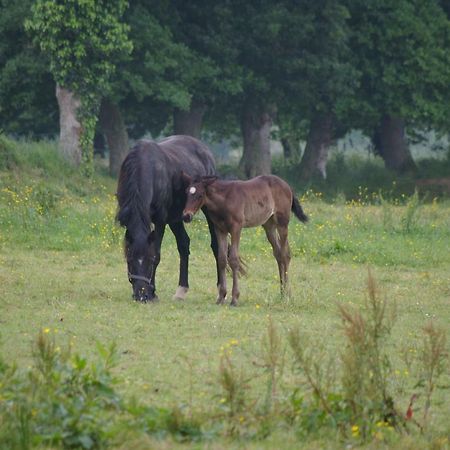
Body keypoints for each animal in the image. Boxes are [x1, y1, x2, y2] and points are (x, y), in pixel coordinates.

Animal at [116, 134, 220, 302]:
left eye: (149, 261)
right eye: (130, 261)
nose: (141, 295)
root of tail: (205, 150)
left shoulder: (160, 220)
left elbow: (157, 253)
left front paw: (153, 292)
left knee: (216, 245)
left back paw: (220, 290)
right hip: (176, 218)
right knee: (184, 244)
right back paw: (181, 290)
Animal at [181, 172, 308, 306]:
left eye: (200, 195)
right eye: (187, 192)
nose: (186, 216)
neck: (225, 200)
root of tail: (287, 185)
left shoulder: (236, 228)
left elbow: (233, 259)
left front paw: (234, 298)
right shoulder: (220, 230)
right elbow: (222, 259)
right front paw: (221, 297)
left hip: (282, 223)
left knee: (285, 255)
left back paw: (287, 294)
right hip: (269, 225)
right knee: (278, 254)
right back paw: (282, 293)